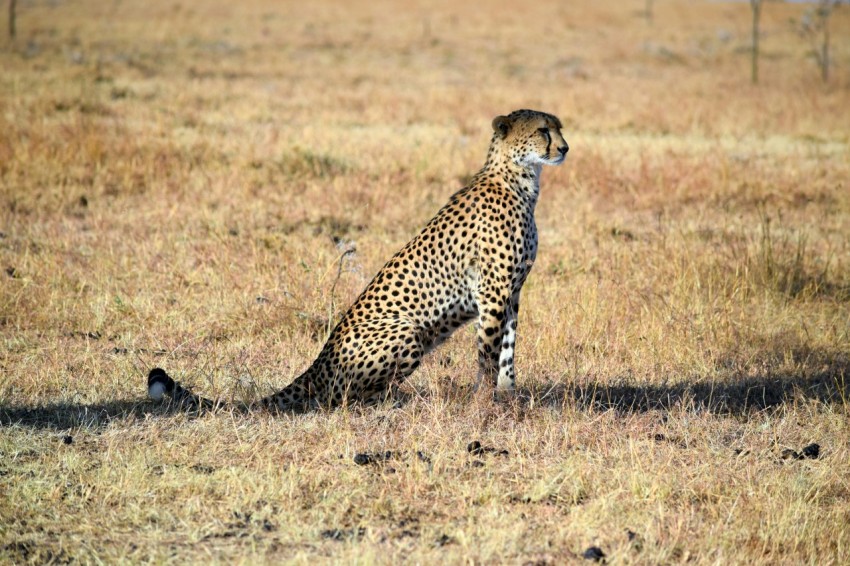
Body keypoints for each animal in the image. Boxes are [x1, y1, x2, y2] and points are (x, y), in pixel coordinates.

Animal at [148, 110, 568, 412]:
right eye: (543, 130)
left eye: (559, 128)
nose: (565, 149)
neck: (520, 179)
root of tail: (319, 360)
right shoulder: (493, 291)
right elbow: (488, 352)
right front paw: (483, 402)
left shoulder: (512, 291)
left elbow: (508, 349)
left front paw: (508, 395)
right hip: (406, 331)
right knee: (341, 399)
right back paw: (397, 402)